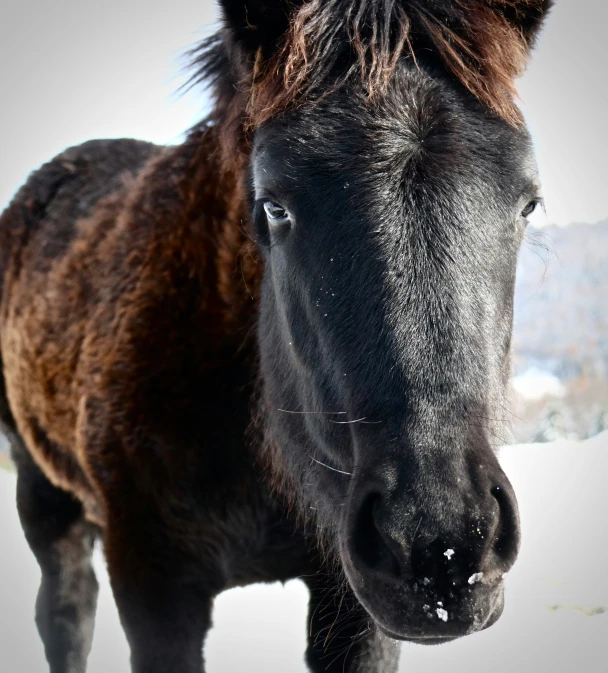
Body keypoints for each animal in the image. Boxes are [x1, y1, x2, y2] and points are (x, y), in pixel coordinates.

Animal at [0, 1, 552, 672]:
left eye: (527, 203)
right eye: (275, 206)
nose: (441, 544)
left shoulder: (355, 610)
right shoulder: (153, 586)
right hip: (43, 491)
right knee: (66, 613)